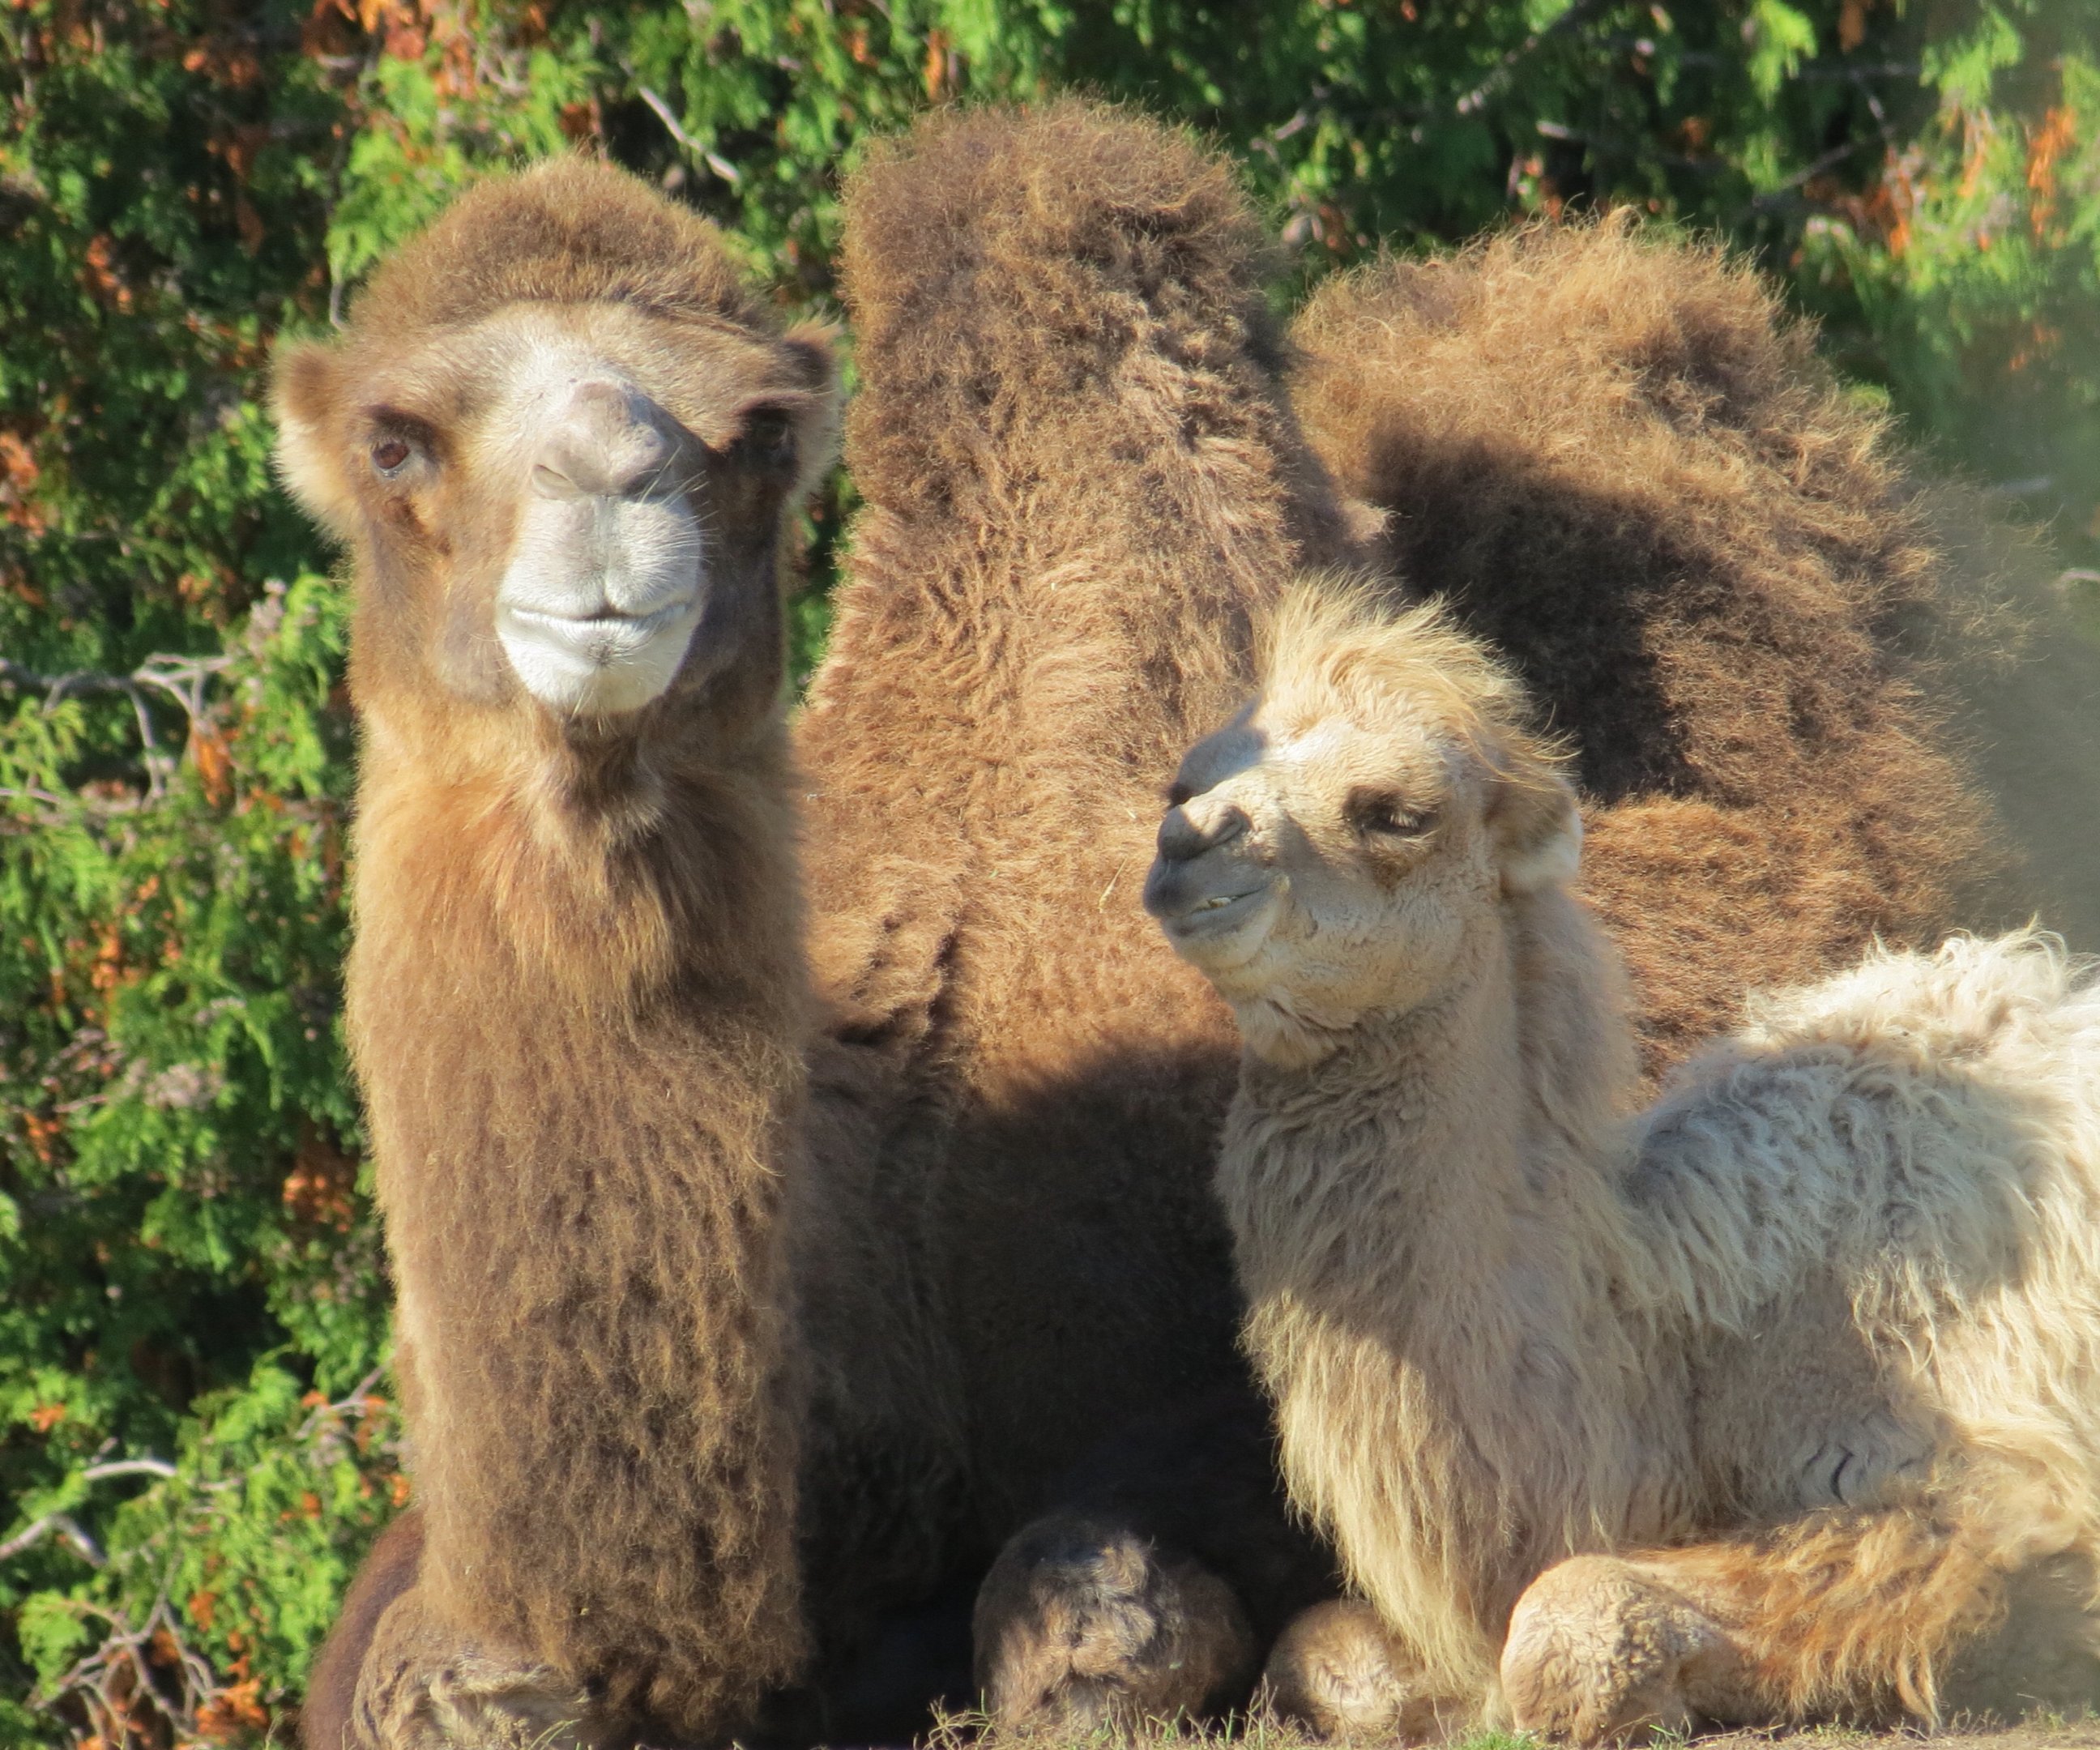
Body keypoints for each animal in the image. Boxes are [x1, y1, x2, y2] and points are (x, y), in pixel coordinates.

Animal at [1145, 579, 2100, 1741]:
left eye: (1397, 812)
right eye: (1188, 779)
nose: (1188, 846)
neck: (1671, 1335)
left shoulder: (1989, 1489)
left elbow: (1571, 1619)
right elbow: (1325, 1651)